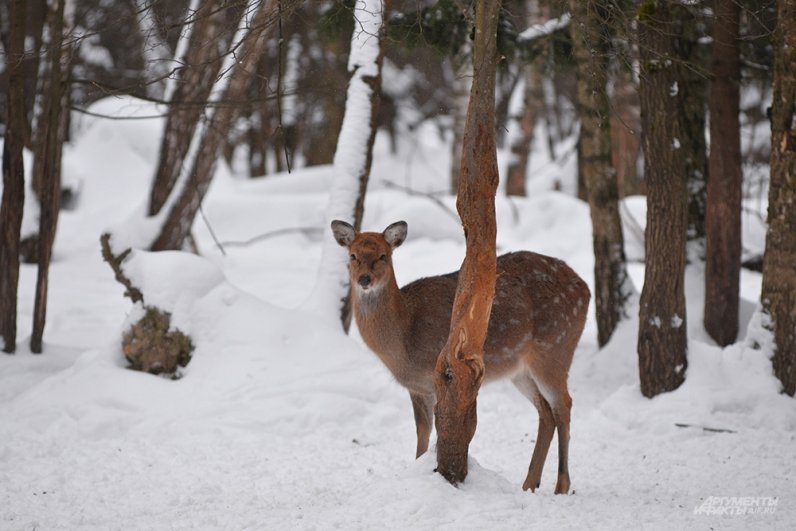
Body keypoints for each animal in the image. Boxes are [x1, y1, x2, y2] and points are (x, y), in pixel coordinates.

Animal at [332, 220, 592, 494]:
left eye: (383, 255)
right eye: (353, 256)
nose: (364, 279)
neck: (405, 335)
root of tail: (586, 289)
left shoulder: (445, 376)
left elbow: (442, 430)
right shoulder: (417, 387)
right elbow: (422, 431)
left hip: (555, 347)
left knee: (563, 405)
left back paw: (561, 485)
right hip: (521, 370)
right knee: (546, 411)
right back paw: (530, 483)